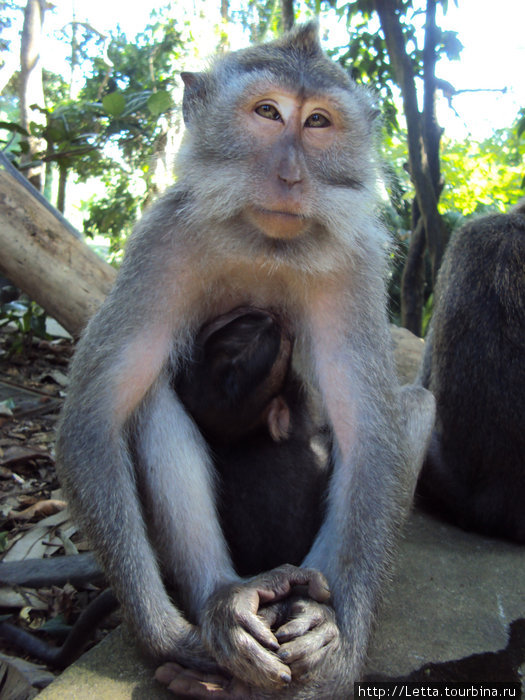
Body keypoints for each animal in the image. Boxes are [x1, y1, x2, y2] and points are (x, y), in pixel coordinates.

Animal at [56, 23, 434, 700]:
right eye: (267, 113)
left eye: (317, 121)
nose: (290, 175)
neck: (265, 244)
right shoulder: (162, 239)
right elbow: (93, 420)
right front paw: (162, 634)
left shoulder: (356, 263)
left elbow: (371, 434)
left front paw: (341, 650)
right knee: (147, 402)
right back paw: (227, 603)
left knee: (409, 408)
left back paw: (306, 603)